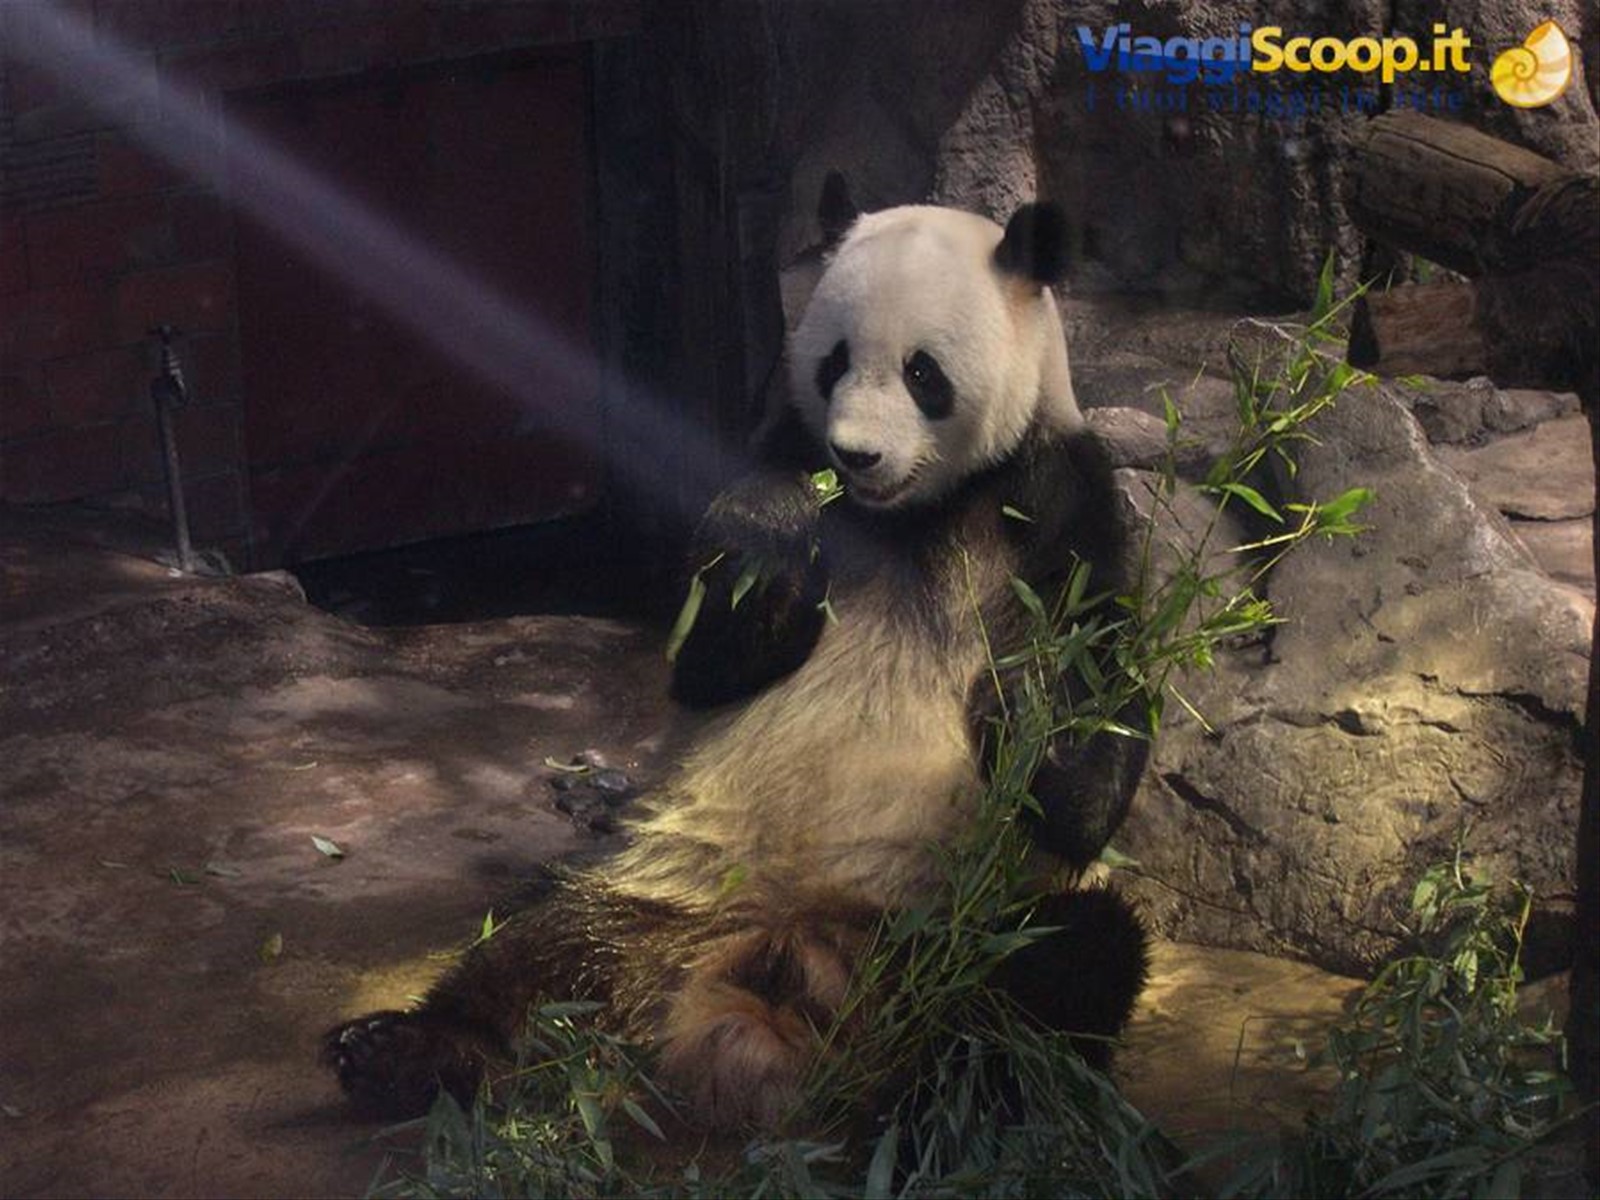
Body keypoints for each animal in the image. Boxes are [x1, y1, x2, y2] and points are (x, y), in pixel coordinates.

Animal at [322, 176, 1151, 1131]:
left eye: (922, 372)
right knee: (539, 944)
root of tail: (770, 994)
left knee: (1063, 964)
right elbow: (708, 656)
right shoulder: (773, 445)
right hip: (663, 886)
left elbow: (1093, 713)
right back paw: (403, 1051)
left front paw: (1035, 713)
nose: (855, 454)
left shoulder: (1055, 502)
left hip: (957, 934)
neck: (913, 514)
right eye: (833, 362)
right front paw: (770, 537)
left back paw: (938, 1106)